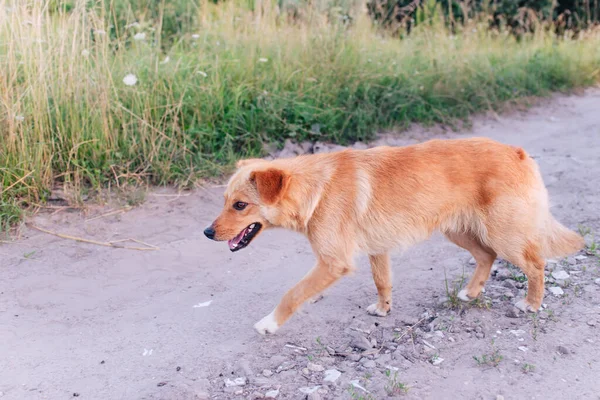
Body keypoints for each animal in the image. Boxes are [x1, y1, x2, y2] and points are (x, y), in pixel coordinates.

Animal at [204, 138, 584, 334]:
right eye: (224, 202)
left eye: (240, 205)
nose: (207, 232)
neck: (316, 189)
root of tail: (518, 152)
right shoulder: (378, 249)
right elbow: (382, 282)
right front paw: (384, 309)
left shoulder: (333, 263)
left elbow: (292, 294)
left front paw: (269, 323)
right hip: (458, 231)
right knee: (486, 257)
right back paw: (471, 292)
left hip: (504, 234)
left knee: (536, 263)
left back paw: (531, 303)